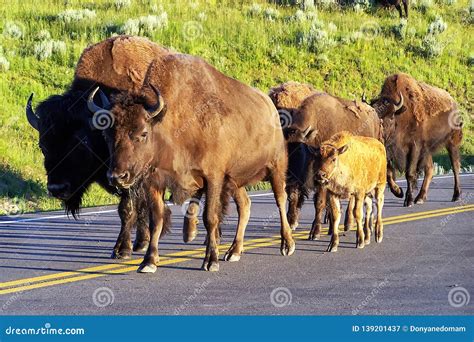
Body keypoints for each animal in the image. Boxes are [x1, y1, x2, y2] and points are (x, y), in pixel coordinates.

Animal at [24, 35, 172, 260]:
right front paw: (132, 245)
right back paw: (142, 242)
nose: (57, 188)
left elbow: (127, 208)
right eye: (43, 145)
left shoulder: (129, 176)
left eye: (82, 142)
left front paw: (122, 250)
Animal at [89, 52, 294, 272]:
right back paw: (234, 251)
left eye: (143, 133)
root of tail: (270, 107)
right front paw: (149, 261)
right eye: (107, 134)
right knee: (245, 205)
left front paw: (211, 260)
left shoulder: (213, 177)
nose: (117, 176)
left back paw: (287, 244)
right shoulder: (155, 181)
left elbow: (210, 217)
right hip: (234, 180)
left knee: (280, 200)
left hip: (276, 168)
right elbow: (157, 219)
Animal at [372, 74, 462, 207]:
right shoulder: (390, 151)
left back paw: (456, 196)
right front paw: (399, 192)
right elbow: (388, 173)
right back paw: (420, 198)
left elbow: (409, 173)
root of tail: (454, 103)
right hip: (427, 150)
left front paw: (408, 200)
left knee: (455, 166)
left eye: (391, 116)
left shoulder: (414, 147)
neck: (401, 116)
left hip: (451, 143)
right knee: (430, 170)